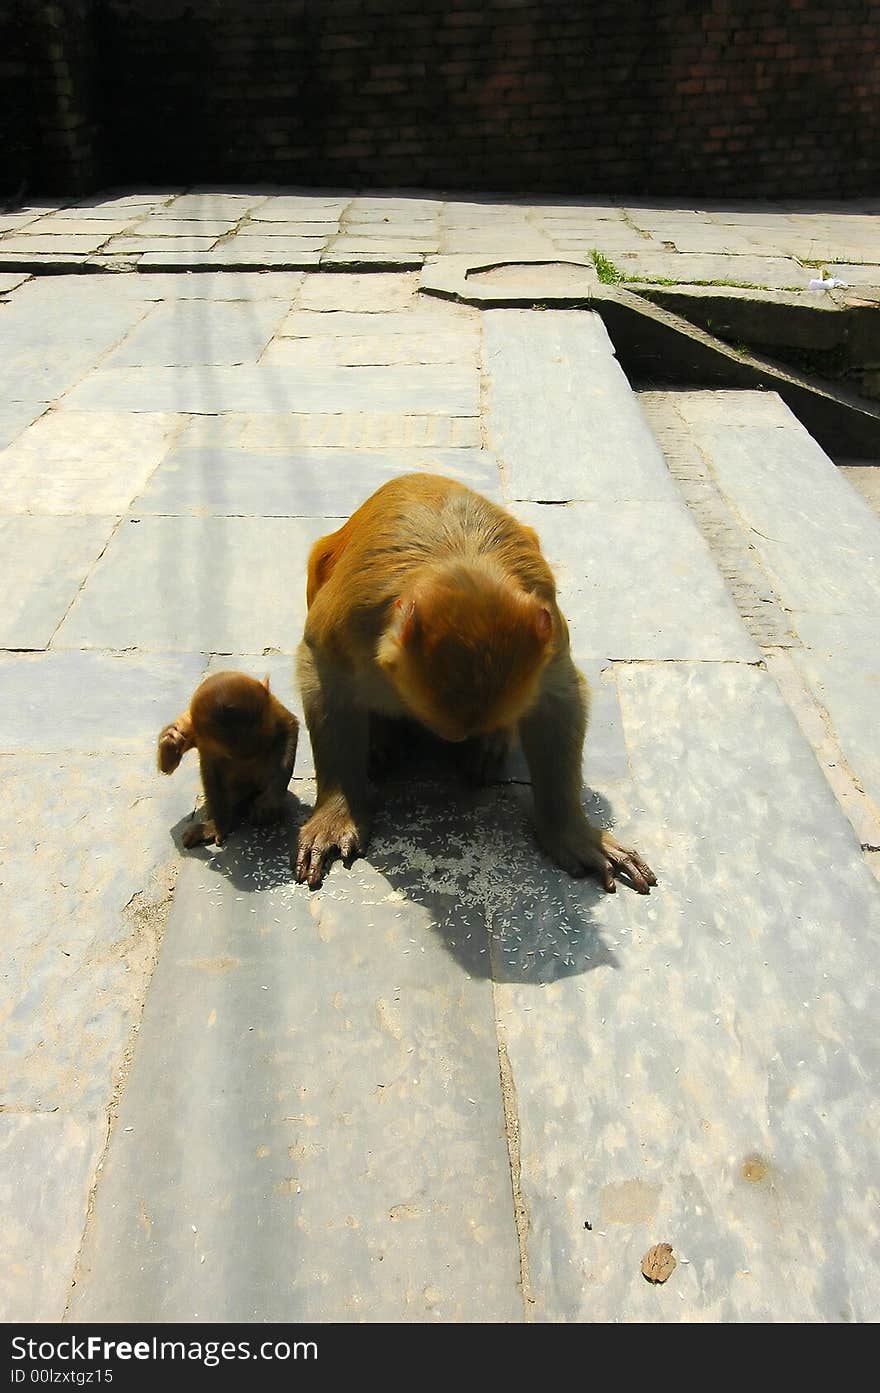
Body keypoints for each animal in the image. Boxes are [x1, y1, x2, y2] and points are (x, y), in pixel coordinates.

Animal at [156, 671, 297, 846]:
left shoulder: (272, 708)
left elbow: (289, 727)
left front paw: (270, 800)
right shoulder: (191, 726)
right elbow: (171, 766)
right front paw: (170, 741)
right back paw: (219, 824)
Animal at [293, 476, 654, 891]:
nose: (458, 738)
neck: (457, 559)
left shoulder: (546, 631)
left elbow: (557, 698)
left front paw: (570, 831)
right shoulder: (352, 618)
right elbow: (323, 675)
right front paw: (339, 811)